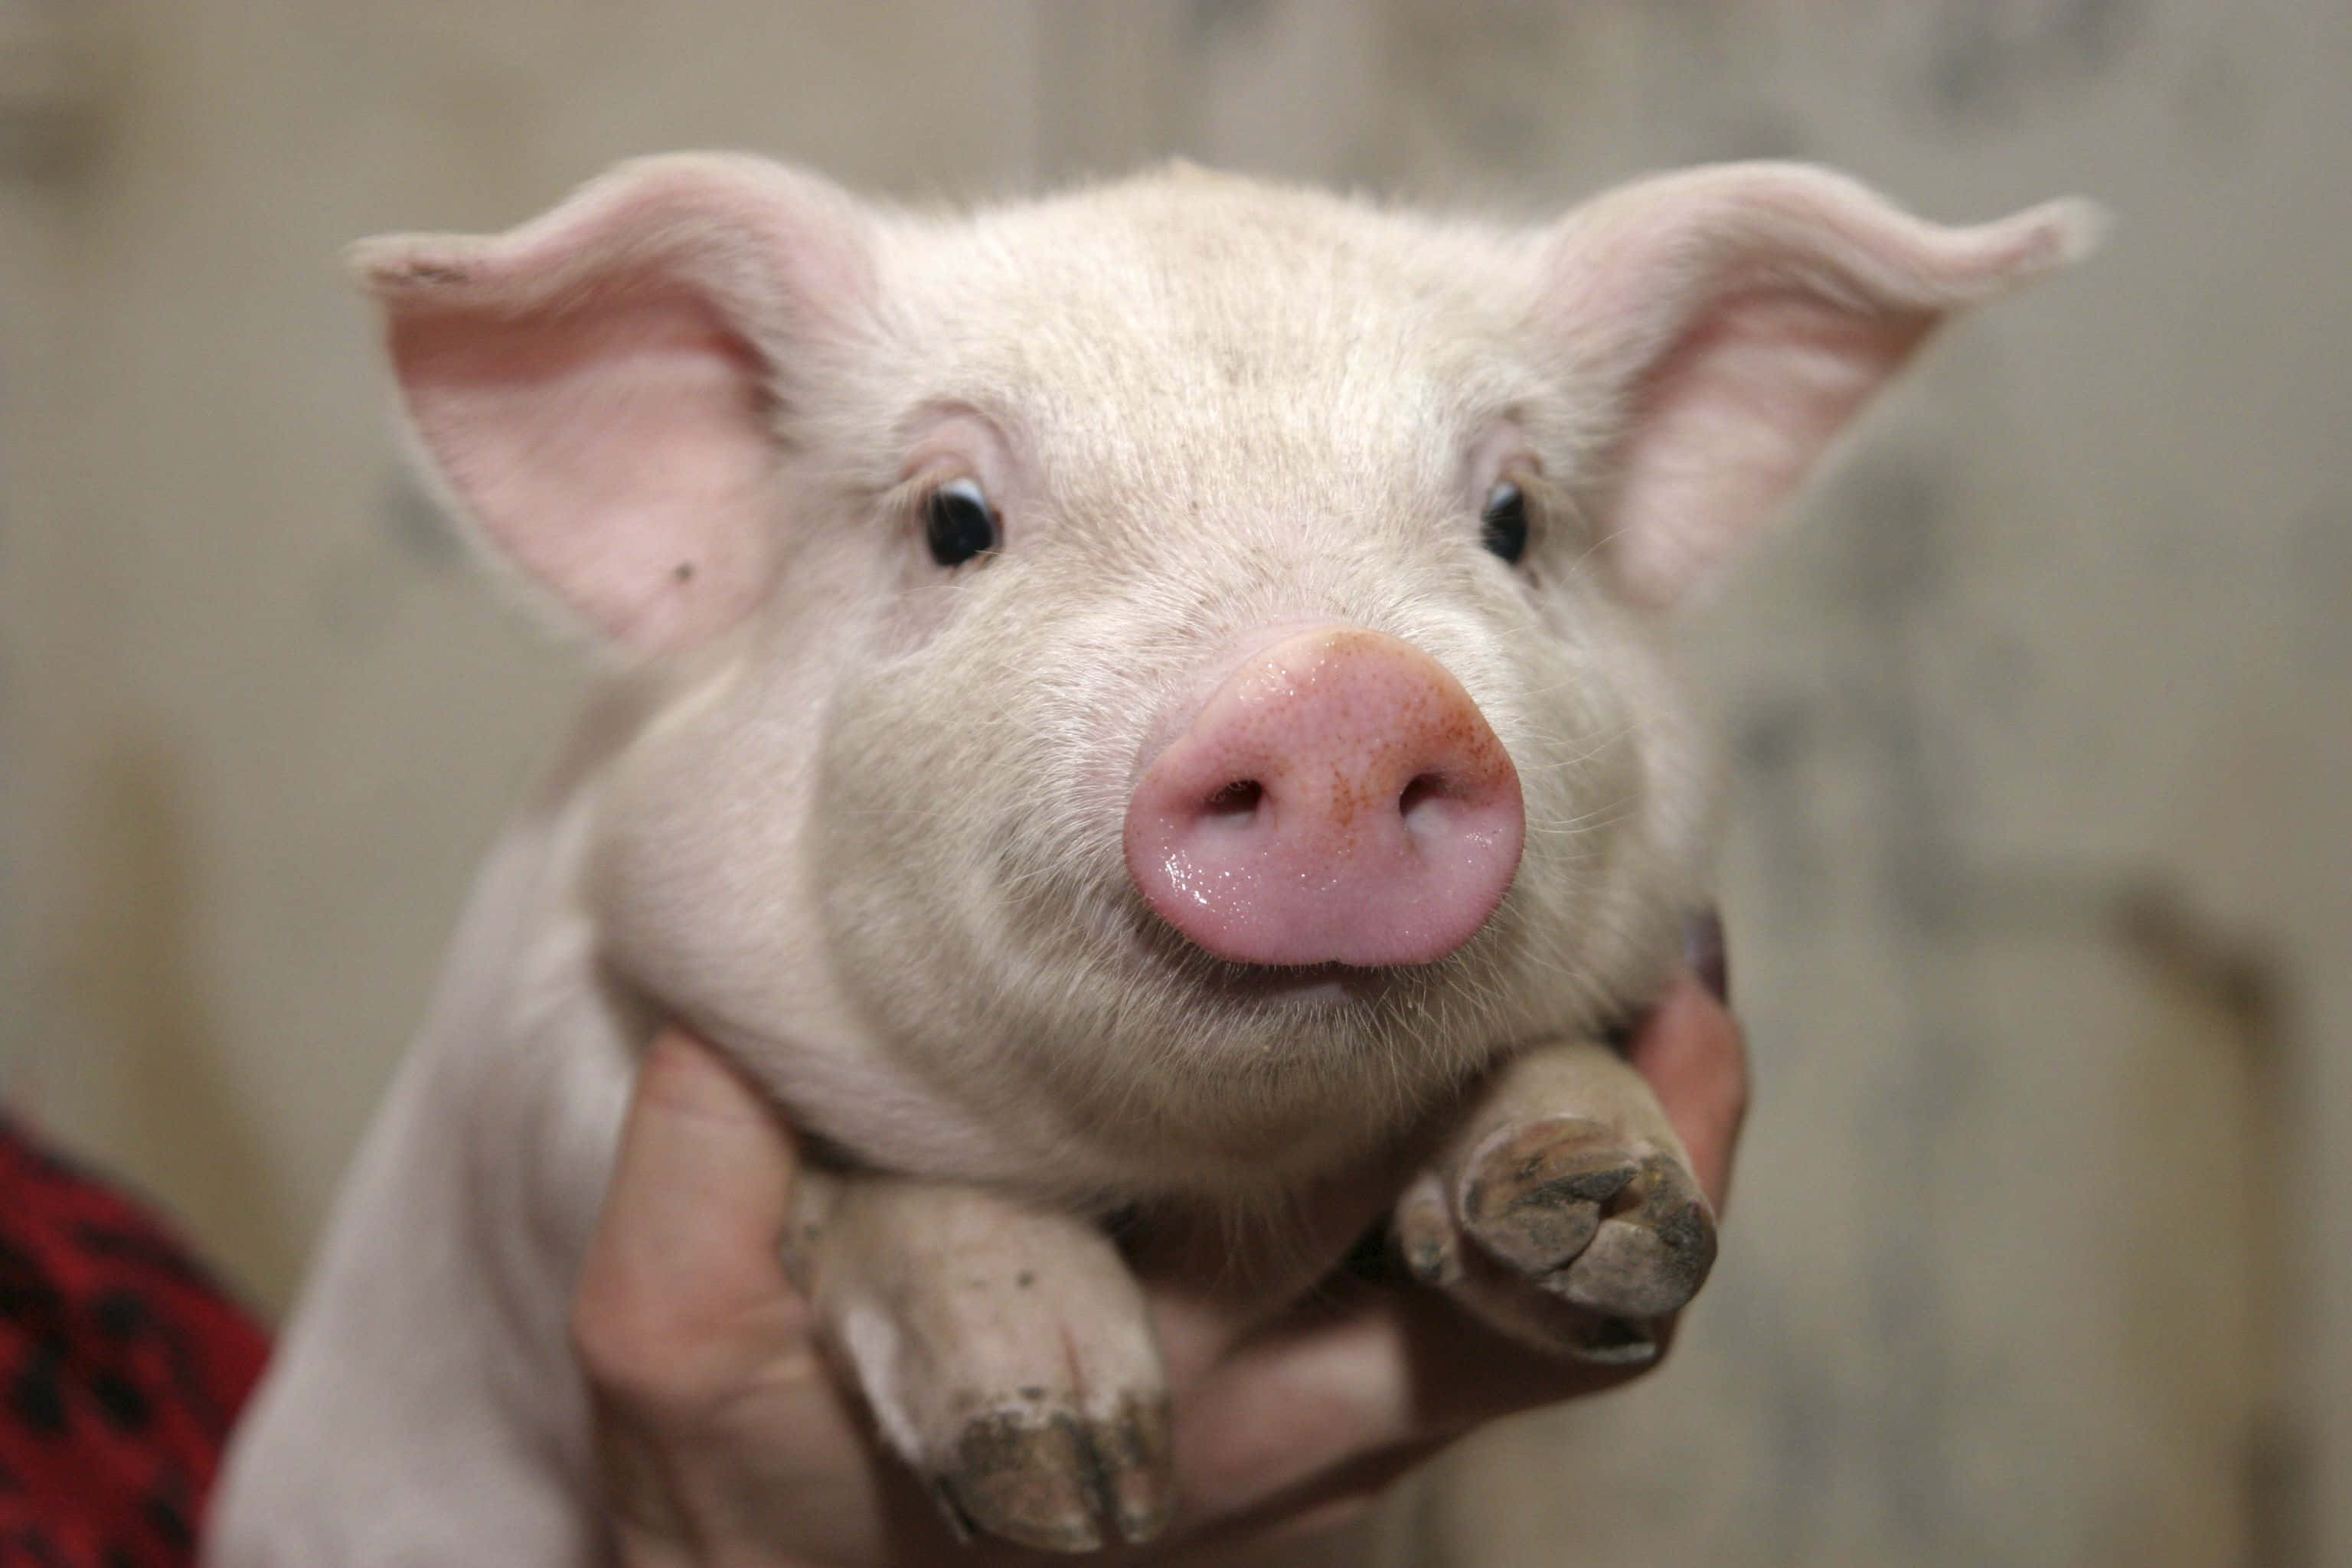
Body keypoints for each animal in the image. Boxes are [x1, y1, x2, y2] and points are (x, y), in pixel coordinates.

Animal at [205, 154, 2093, 1561]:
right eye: (954, 520)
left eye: (1514, 519)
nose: (1342, 691)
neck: (1205, 1183)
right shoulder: (558, 1082)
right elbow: (871, 1171)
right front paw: (1073, 1472)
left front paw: (1598, 1212)